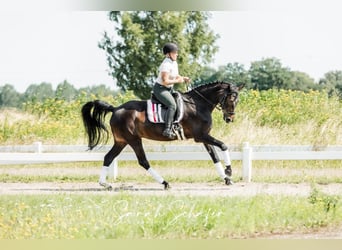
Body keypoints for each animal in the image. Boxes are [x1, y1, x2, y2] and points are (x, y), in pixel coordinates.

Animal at [82, 82, 244, 189]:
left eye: (238, 100)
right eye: (230, 99)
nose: (230, 119)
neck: (198, 104)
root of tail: (116, 109)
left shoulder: (205, 137)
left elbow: (214, 157)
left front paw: (226, 179)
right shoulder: (200, 136)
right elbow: (223, 145)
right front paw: (229, 171)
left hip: (121, 141)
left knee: (108, 157)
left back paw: (104, 183)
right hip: (133, 139)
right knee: (143, 161)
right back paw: (165, 183)